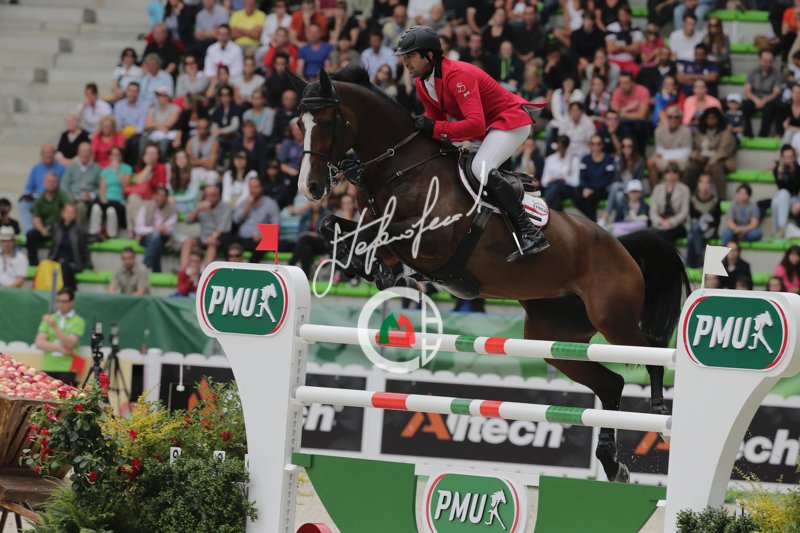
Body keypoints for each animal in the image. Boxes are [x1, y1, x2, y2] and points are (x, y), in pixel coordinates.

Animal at [291, 66, 690, 482]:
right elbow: (337, 228)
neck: (402, 170)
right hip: (555, 336)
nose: (310, 187)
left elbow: (378, 238)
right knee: (611, 383)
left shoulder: (431, 240)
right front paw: (375, 271)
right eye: (299, 124)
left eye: (326, 122)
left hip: (613, 319)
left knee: (653, 351)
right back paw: (613, 464)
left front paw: (387, 274)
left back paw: (660, 413)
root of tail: (620, 246)